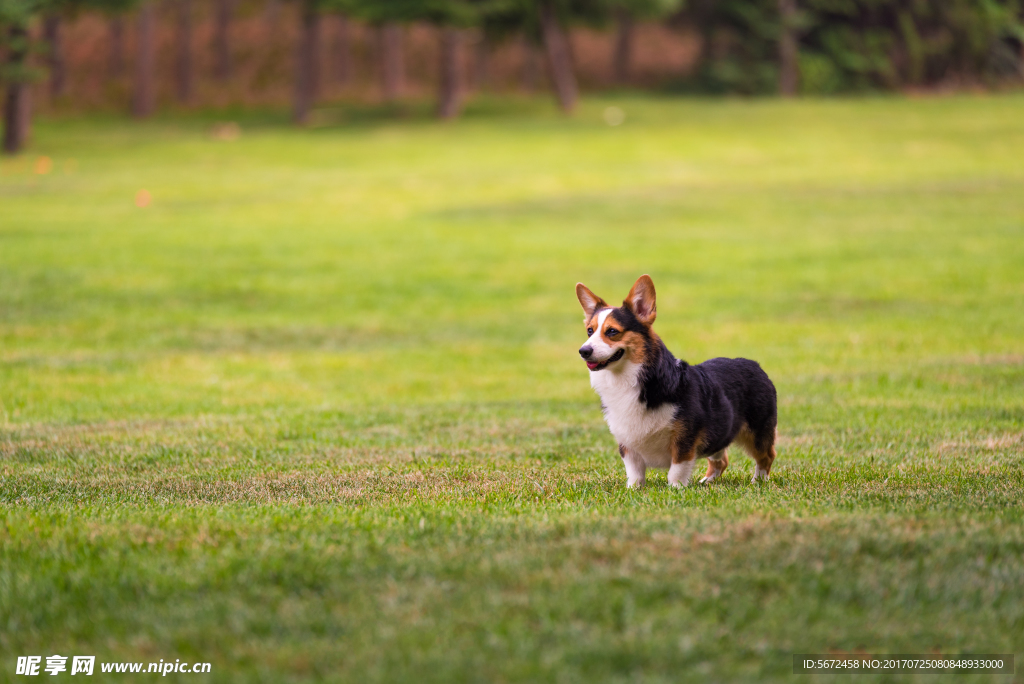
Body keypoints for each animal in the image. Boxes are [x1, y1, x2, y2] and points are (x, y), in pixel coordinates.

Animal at [577, 272, 774, 485]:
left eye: (612, 331)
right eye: (589, 331)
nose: (583, 351)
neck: (627, 379)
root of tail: (754, 364)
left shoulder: (684, 438)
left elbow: (677, 468)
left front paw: (676, 488)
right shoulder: (627, 443)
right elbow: (634, 471)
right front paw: (634, 488)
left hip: (757, 433)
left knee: (766, 456)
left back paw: (758, 481)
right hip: (720, 432)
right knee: (721, 459)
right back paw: (708, 481)